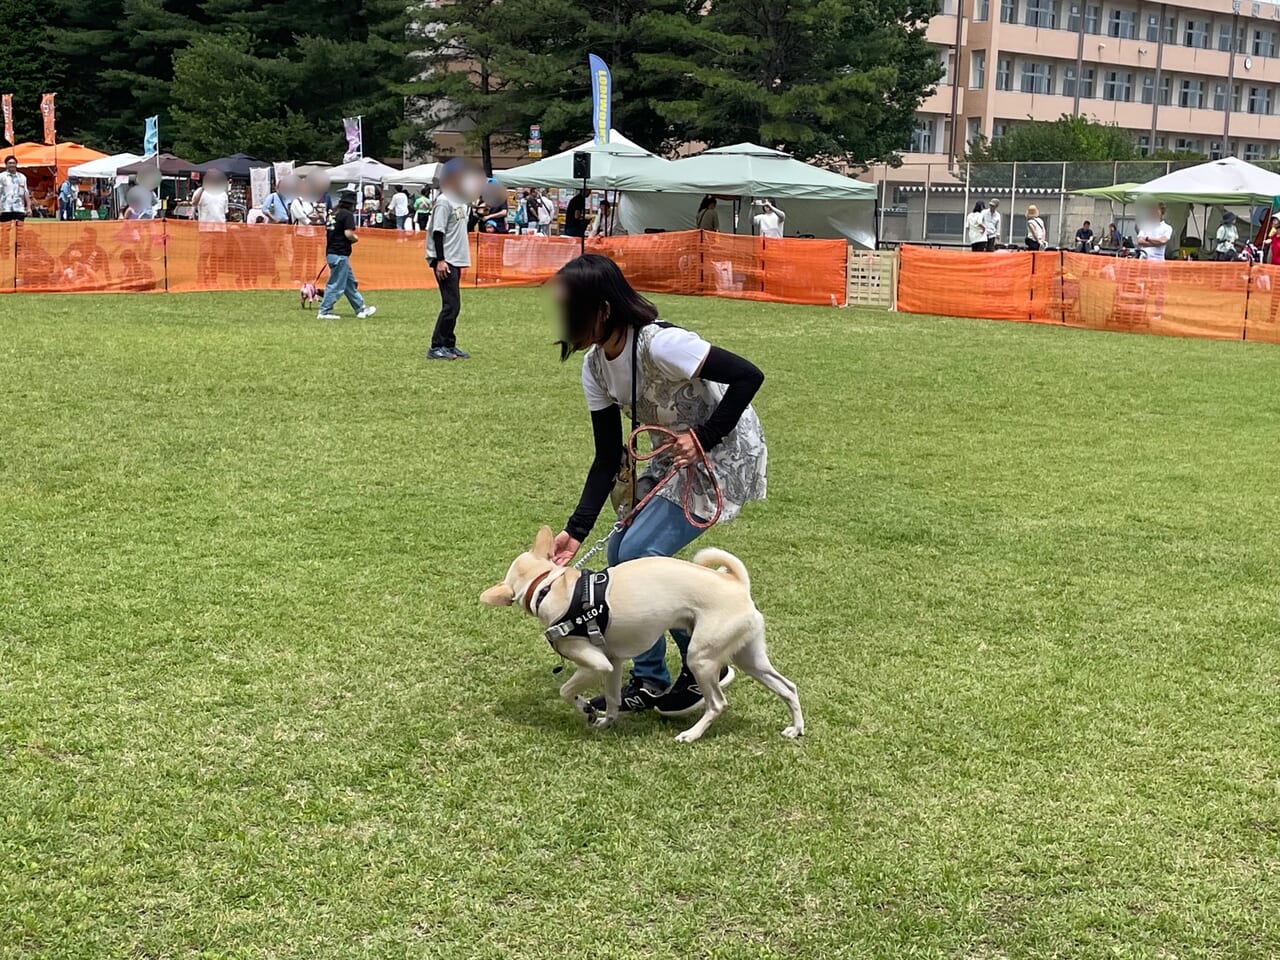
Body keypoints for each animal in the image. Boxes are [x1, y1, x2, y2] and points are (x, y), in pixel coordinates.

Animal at [481, 527, 798, 742]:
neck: (545, 585)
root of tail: (738, 584)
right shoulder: (613, 663)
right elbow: (611, 699)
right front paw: (604, 721)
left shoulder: (596, 663)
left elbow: (566, 691)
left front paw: (585, 709)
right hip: (750, 658)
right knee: (789, 687)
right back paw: (796, 729)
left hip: (701, 657)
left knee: (717, 703)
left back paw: (691, 734)